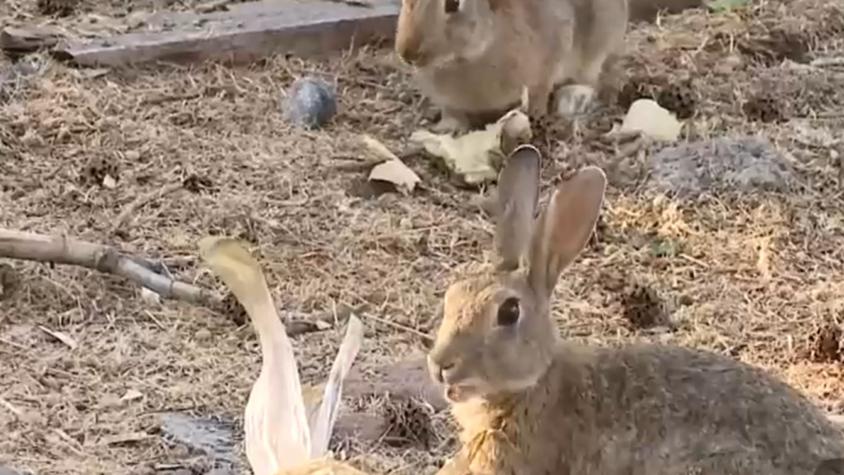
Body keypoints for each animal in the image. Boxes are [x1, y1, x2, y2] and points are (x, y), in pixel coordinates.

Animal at [394, 0, 628, 132]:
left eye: (453, 3)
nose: (407, 53)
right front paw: (448, 127)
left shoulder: (549, 55)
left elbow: (540, 90)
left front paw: (535, 115)